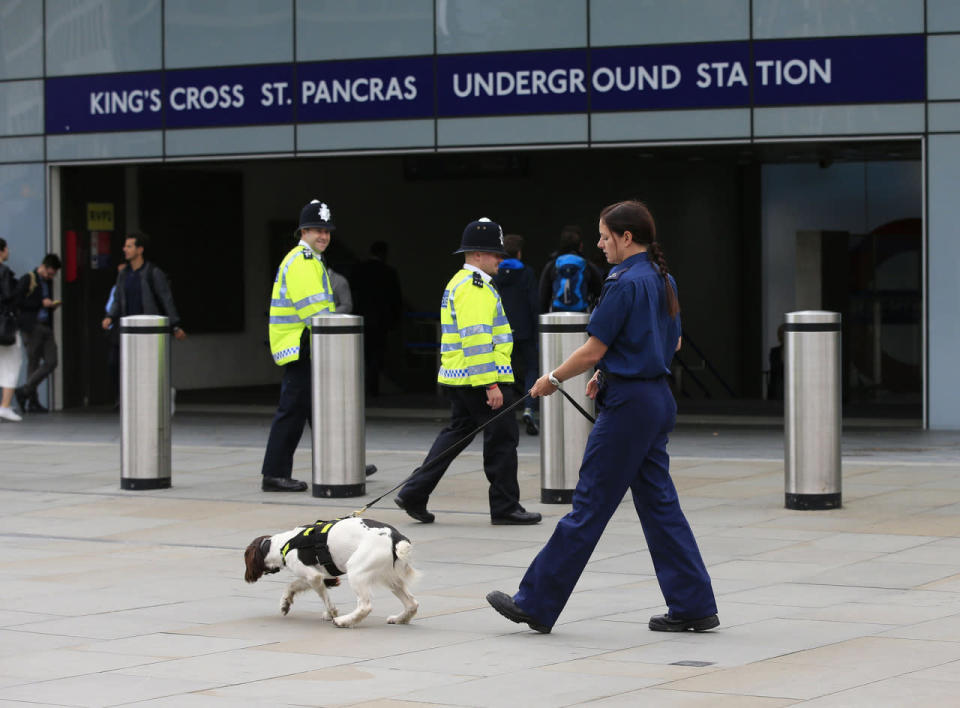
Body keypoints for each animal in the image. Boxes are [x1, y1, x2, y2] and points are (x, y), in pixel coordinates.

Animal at [244, 516, 416, 628]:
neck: (281, 545)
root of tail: (396, 537)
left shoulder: (313, 576)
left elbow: (325, 598)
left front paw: (332, 613)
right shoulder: (314, 576)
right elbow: (292, 586)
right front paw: (285, 603)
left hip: (356, 570)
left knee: (365, 606)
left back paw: (344, 621)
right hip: (390, 578)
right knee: (412, 604)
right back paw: (400, 619)